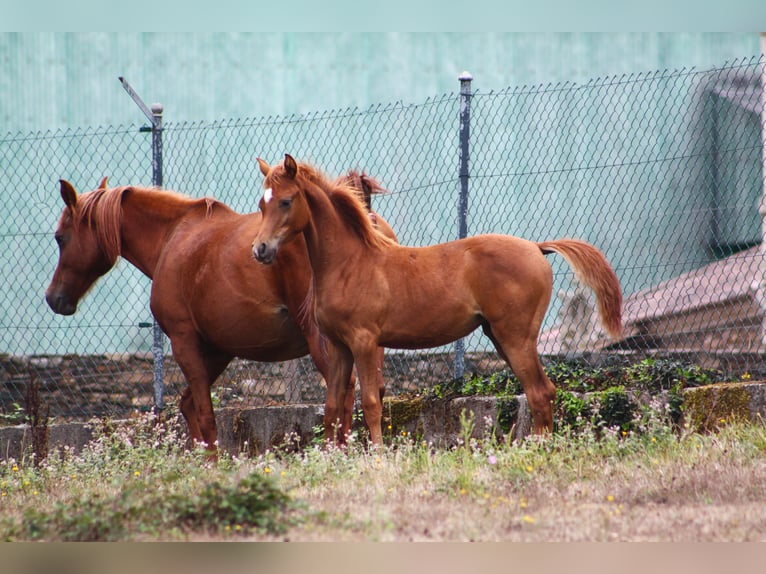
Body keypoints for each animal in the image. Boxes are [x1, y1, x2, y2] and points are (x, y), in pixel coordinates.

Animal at [45, 174, 400, 454]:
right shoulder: (219, 350)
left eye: (60, 237)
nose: (53, 298)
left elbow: (205, 414)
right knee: (371, 392)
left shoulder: (184, 341)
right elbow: (189, 405)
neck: (172, 238)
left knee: (344, 393)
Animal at [252, 155, 624, 448]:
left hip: (516, 338)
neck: (350, 263)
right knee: (543, 392)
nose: (260, 250)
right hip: (499, 336)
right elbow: (331, 406)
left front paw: (378, 456)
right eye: (261, 204)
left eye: (286, 201)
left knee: (539, 393)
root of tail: (536, 247)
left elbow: (370, 401)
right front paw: (330, 456)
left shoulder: (365, 342)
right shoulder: (340, 345)